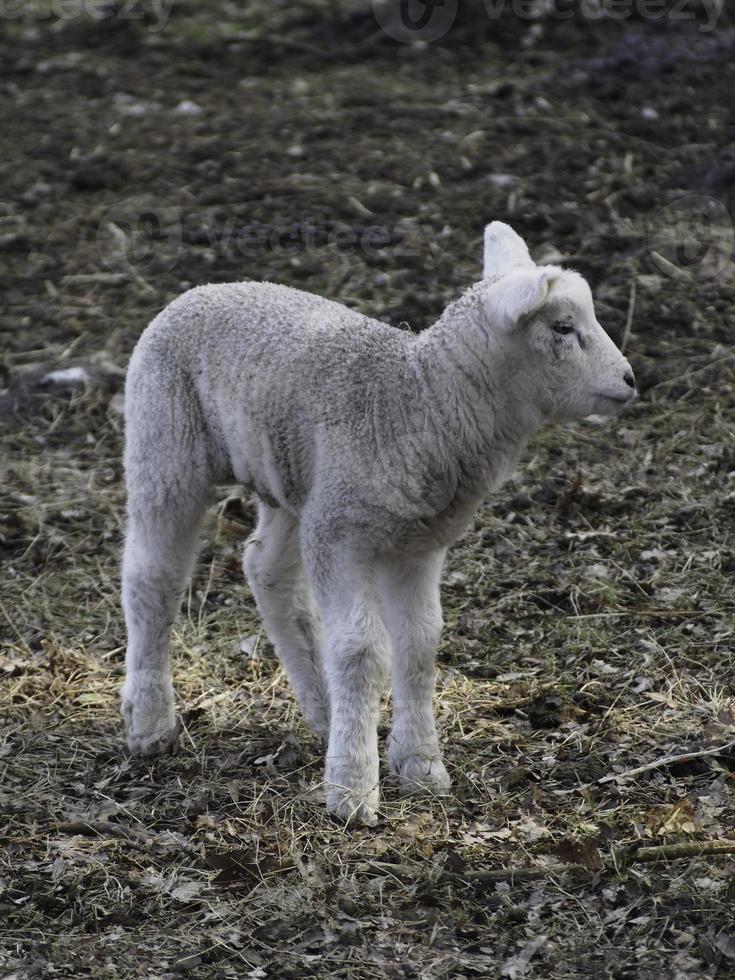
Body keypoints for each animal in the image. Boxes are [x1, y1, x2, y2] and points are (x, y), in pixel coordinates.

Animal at [119, 224, 632, 828]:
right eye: (562, 328)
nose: (630, 380)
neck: (420, 404)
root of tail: (202, 290)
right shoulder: (343, 536)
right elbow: (363, 650)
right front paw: (352, 791)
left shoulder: (418, 543)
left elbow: (420, 642)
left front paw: (420, 766)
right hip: (166, 445)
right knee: (152, 578)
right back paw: (150, 722)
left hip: (298, 483)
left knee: (266, 570)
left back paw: (324, 710)